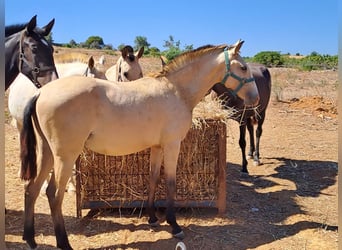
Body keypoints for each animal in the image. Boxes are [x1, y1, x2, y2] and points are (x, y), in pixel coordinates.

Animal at [19, 39, 260, 250]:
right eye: (243, 67)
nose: (255, 98)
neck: (176, 90)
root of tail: (41, 92)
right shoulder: (172, 145)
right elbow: (170, 183)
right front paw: (174, 225)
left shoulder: (157, 147)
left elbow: (153, 179)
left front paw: (153, 218)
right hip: (65, 157)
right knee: (53, 195)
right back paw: (63, 243)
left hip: (47, 154)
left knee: (32, 189)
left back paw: (30, 239)